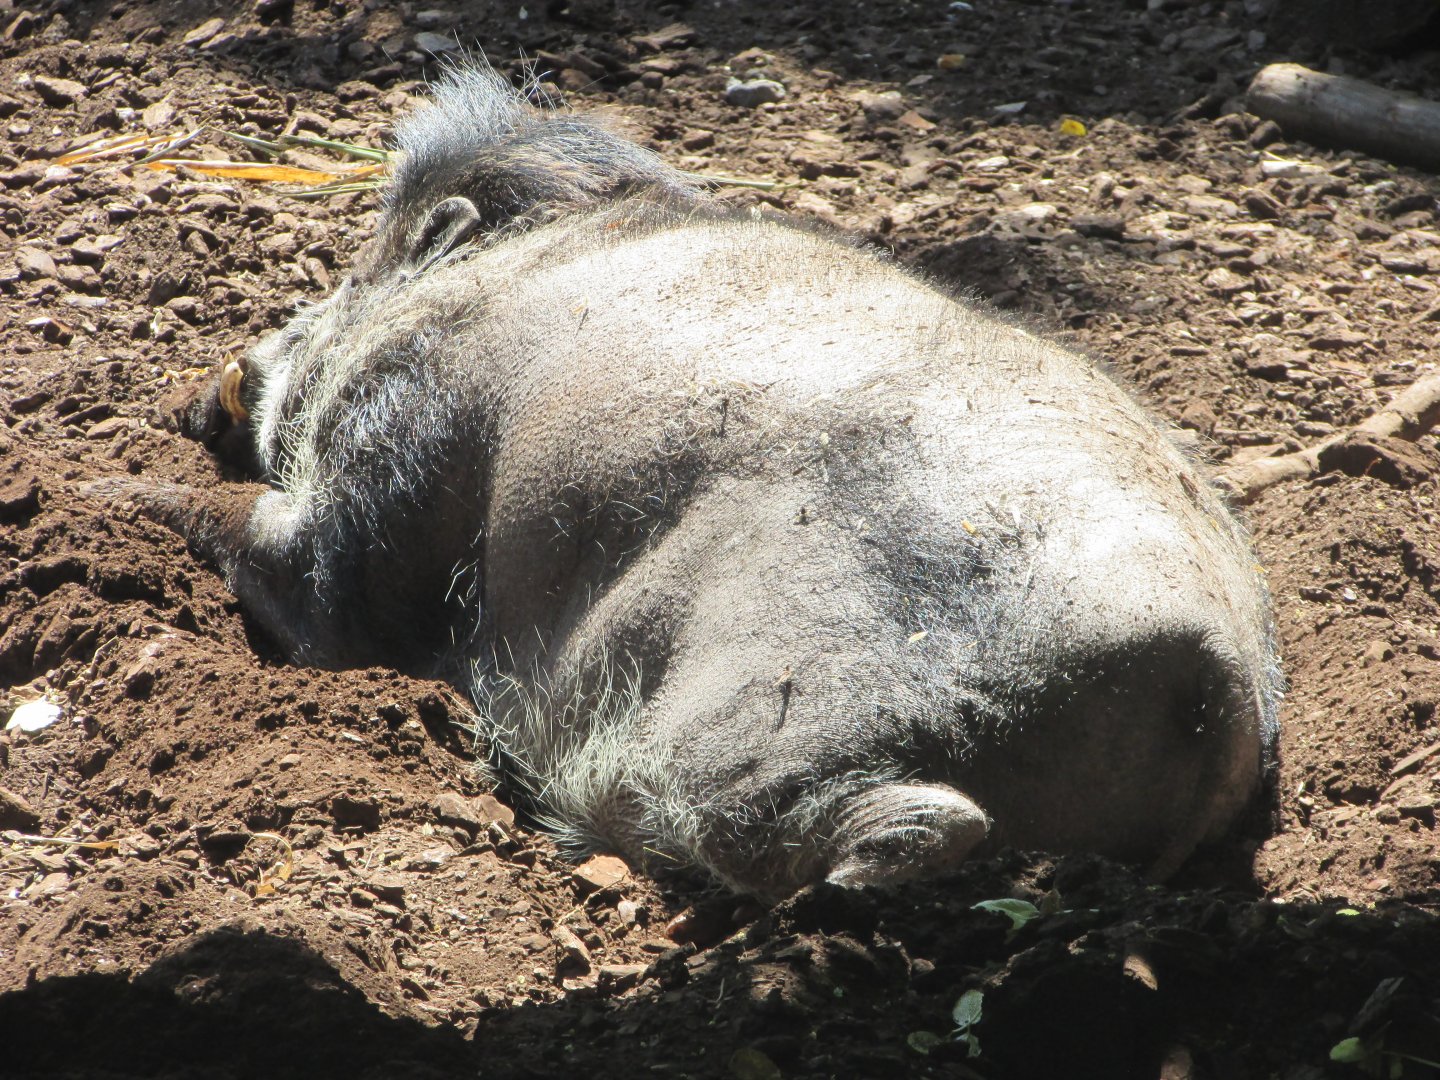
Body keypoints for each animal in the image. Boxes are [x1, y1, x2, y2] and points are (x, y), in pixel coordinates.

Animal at [91, 65, 1282, 901]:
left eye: (353, 276)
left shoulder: (398, 453)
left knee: (839, 826)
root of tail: (1216, 685)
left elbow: (301, 576)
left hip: (770, 695)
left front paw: (110, 492)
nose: (212, 389)